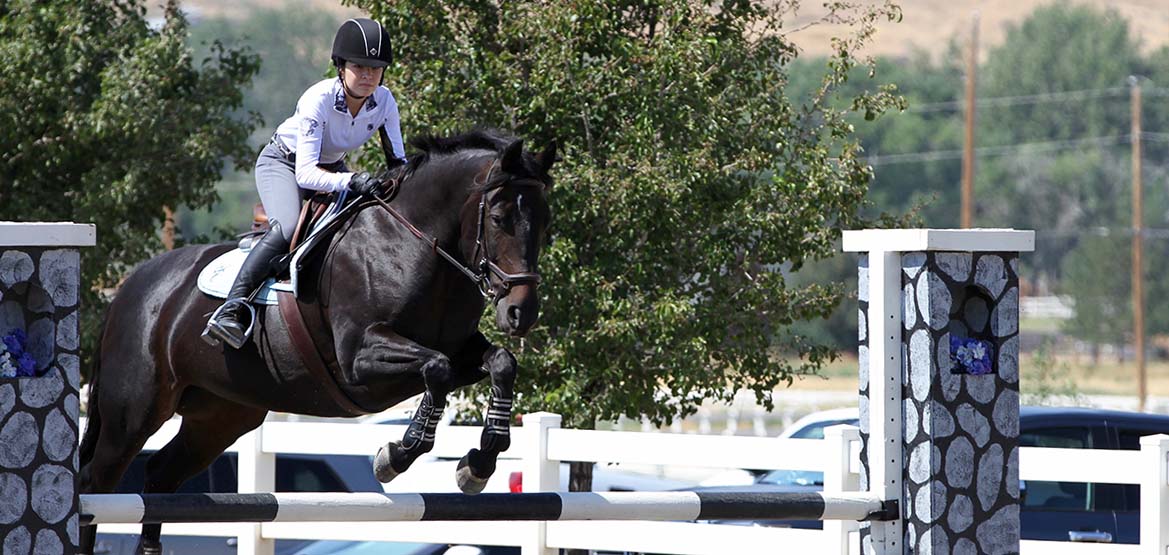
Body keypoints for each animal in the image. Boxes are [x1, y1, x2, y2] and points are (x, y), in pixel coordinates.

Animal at [80, 131, 554, 555]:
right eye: (499, 218)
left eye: (545, 221)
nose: (521, 312)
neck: (413, 246)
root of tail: (132, 286)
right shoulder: (360, 360)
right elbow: (436, 368)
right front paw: (395, 455)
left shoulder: (460, 349)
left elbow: (499, 362)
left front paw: (478, 463)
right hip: (133, 412)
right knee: (95, 484)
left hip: (219, 416)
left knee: (160, 476)